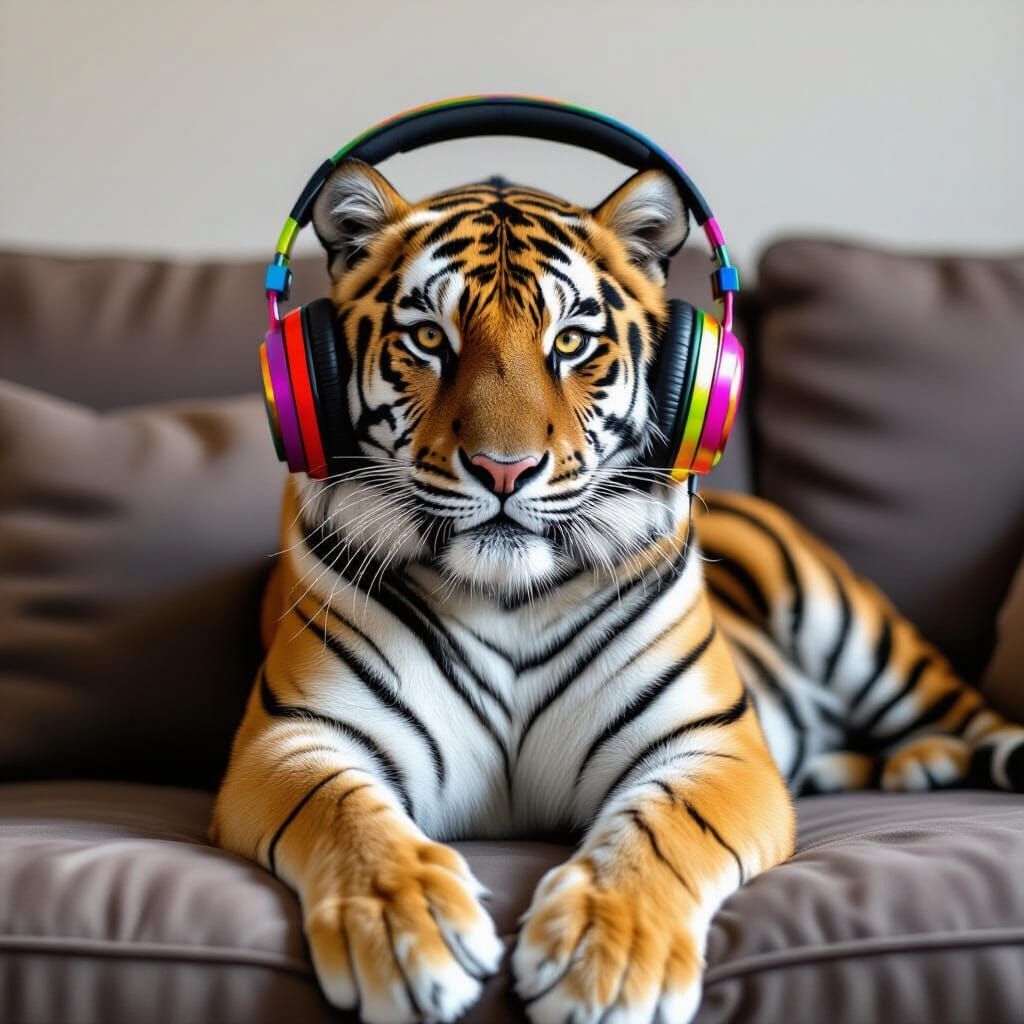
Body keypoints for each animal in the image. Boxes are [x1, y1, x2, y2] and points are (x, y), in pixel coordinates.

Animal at [211, 160, 1024, 1024]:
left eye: (570, 342)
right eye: (430, 338)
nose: (504, 469)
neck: (508, 597)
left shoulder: (708, 743)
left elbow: (664, 831)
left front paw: (604, 961)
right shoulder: (295, 737)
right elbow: (349, 820)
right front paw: (406, 932)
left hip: (849, 622)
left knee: (958, 709)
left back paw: (932, 761)